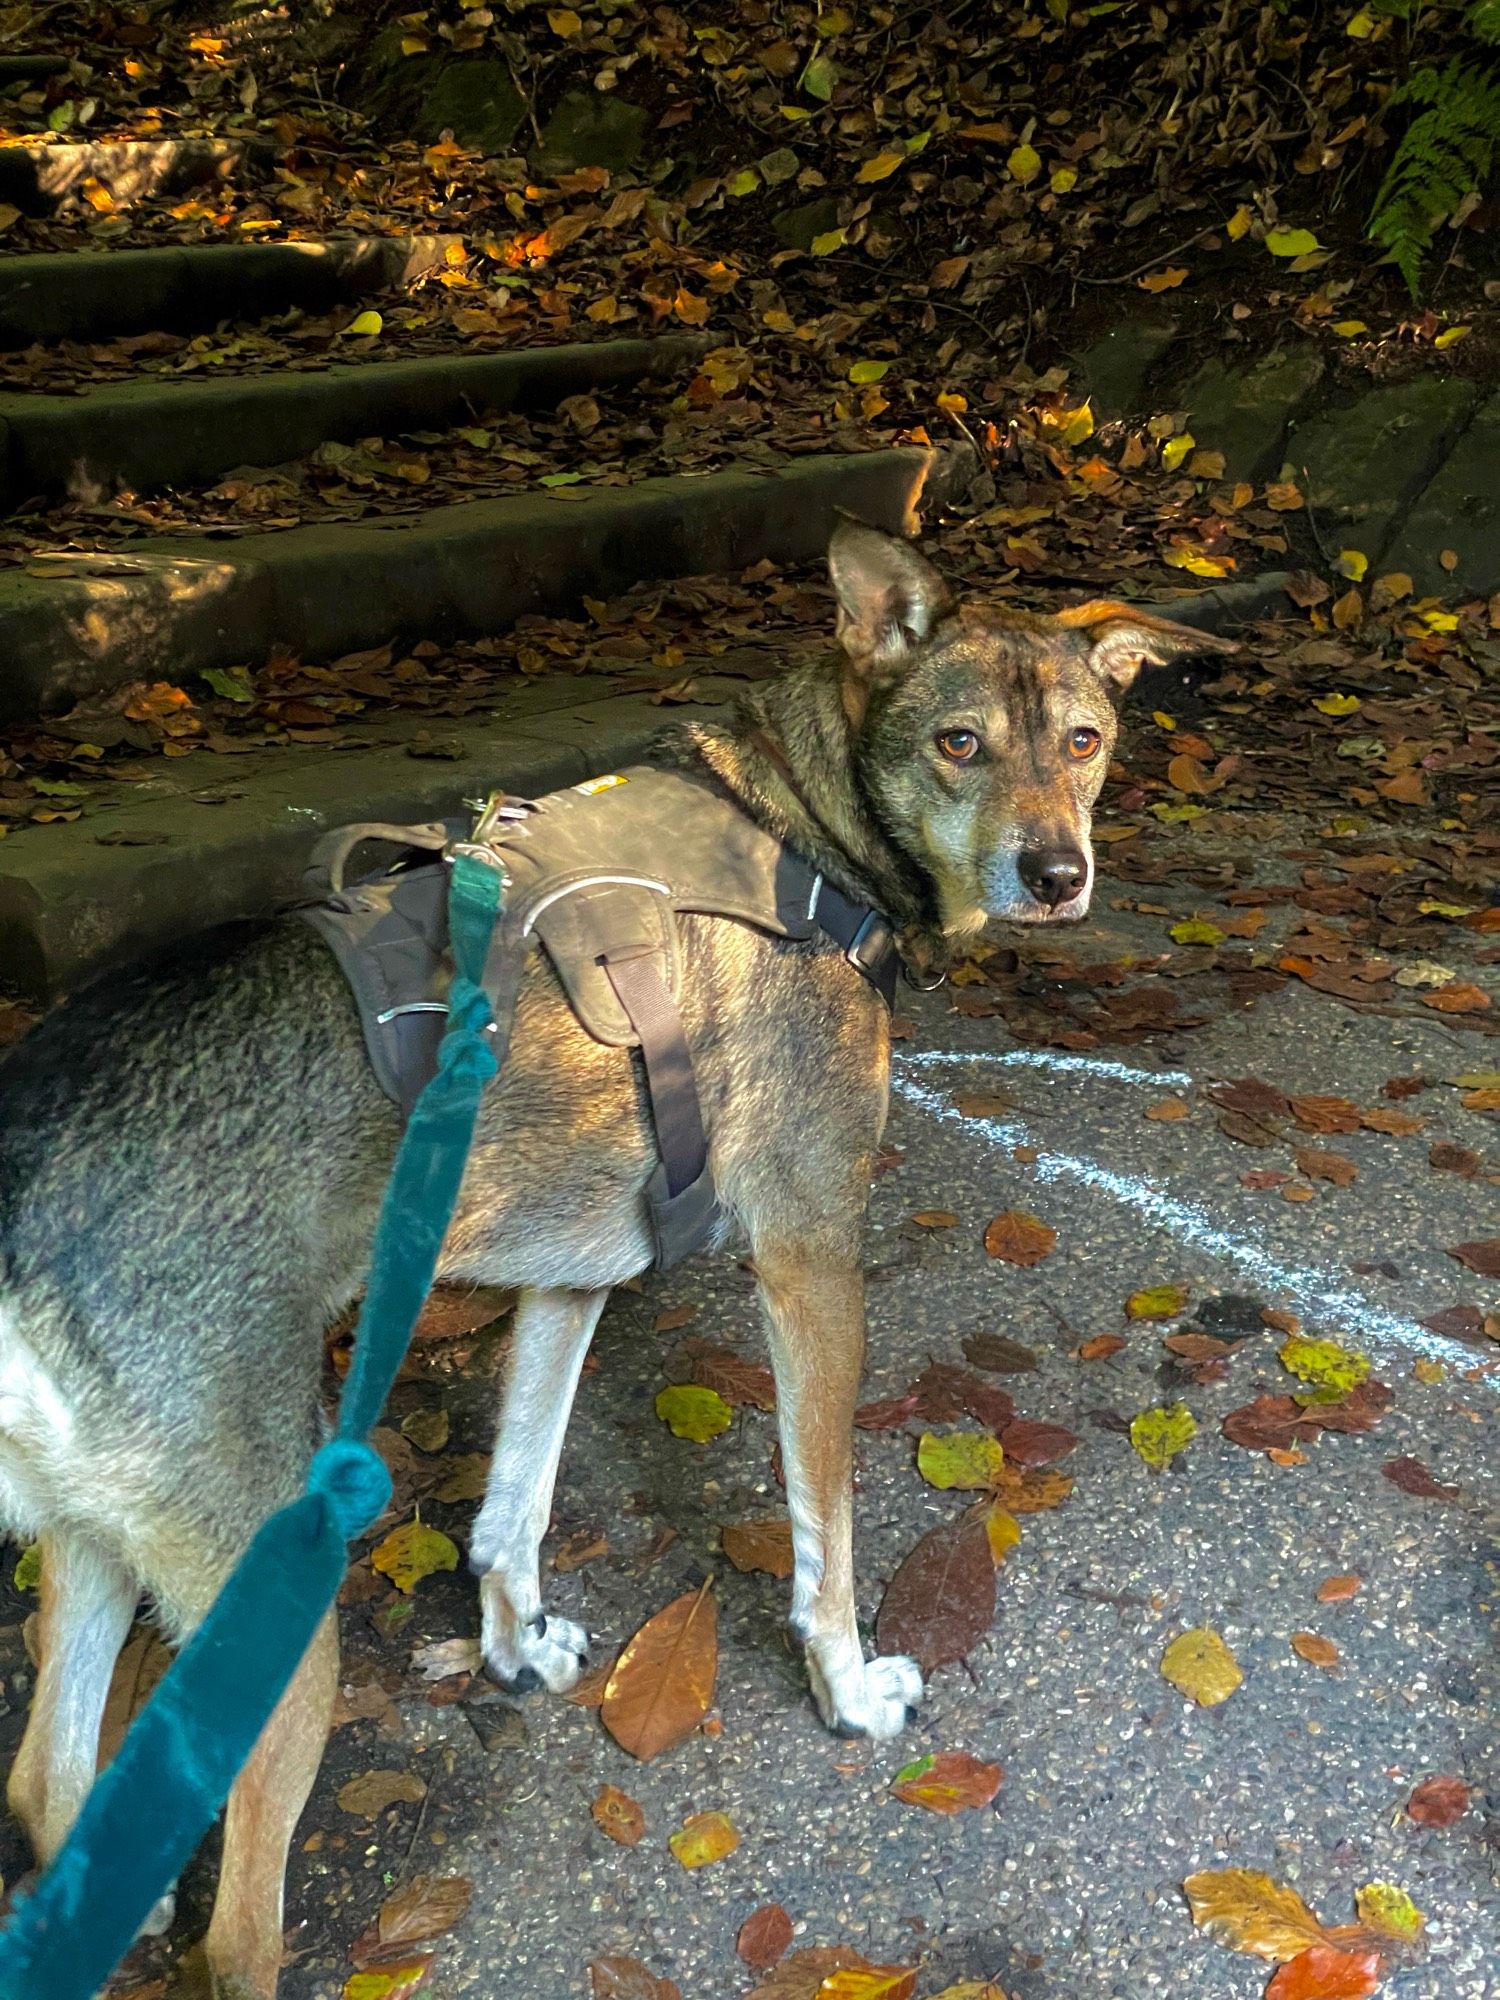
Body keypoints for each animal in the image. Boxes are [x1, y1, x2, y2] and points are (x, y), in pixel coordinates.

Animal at [0, 524, 1232, 1992]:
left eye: (1087, 741)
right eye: (961, 745)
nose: (1056, 875)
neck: (802, 832)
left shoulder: (572, 1280)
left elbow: (513, 1508)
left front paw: (518, 1649)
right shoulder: (812, 1256)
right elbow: (824, 1533)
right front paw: (848, 1689)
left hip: (95, 1547)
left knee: (44, 1787)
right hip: (274, 1610)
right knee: (234, 1933)